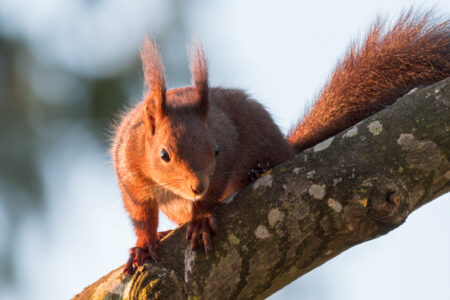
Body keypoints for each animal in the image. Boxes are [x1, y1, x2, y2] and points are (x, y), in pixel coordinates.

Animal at [112, 10, 450, 274]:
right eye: (164, 155)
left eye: (216, 150)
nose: (198, 187)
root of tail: (286, 147)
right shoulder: (128, 169)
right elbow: (140, 212)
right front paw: (144, 244)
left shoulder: (227, 150)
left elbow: (214, 190)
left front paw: (203, 217)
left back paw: (256, 172)